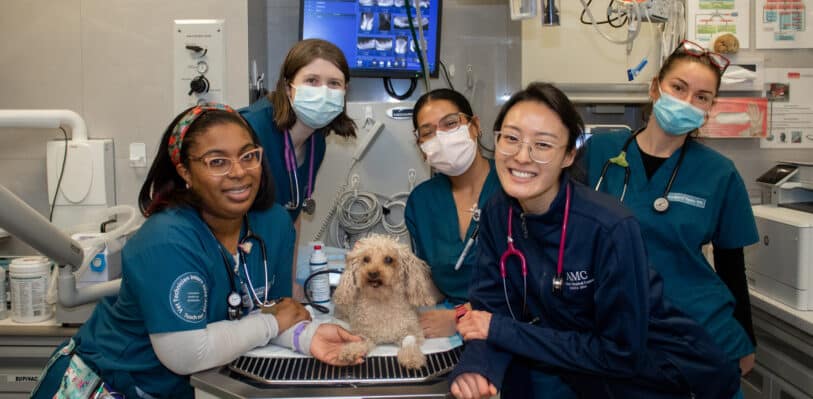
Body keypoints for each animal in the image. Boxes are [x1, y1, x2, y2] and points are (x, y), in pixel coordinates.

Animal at [334, 236, 438, 370]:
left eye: (388, 259)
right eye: (366, 259)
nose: (372, 273)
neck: (382, 300)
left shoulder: (413, 330)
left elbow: (409, 340)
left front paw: (411, 356)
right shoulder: (363, 331)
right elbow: (360, 339)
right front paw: (351, 350)